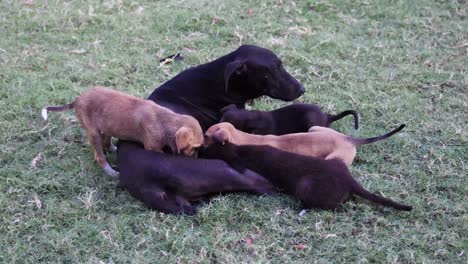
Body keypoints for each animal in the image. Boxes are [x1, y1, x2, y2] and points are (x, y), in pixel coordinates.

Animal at [43, 87, 204, 177]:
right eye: (194, 148)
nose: (197, 159)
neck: (164, 120)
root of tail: (78, 99)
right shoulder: (152, 147)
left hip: (107, 125)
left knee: (105, 142)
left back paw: (112, 148)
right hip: (93, 133)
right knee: (99, 156)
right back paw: (110, 171)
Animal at [118, 45, 304, 213]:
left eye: (281, 65)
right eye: (271, 70)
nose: (303, 89)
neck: (218, 83)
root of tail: (148, 186)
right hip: (222, 169)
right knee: (261, 185)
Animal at [199, 142, 412, 212]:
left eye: (208, 149)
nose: (199, 149)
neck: (240, 151)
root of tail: (348, 179)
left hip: (306, 186)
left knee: (335, 207)